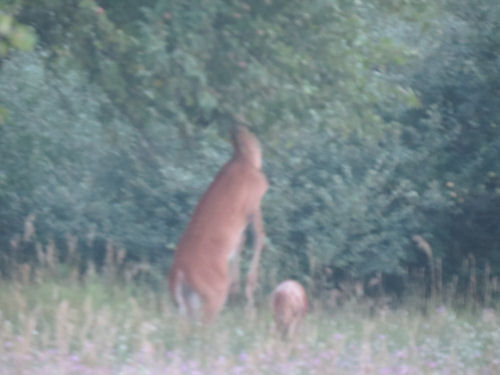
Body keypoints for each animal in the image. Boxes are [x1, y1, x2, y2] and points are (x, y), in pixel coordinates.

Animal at [168, 126, 270, 326]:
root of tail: (179, 271)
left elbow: (243, 240)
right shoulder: (253, 202)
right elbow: (258, 236)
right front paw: (248, 295)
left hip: (188, 302)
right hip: (213, 293)